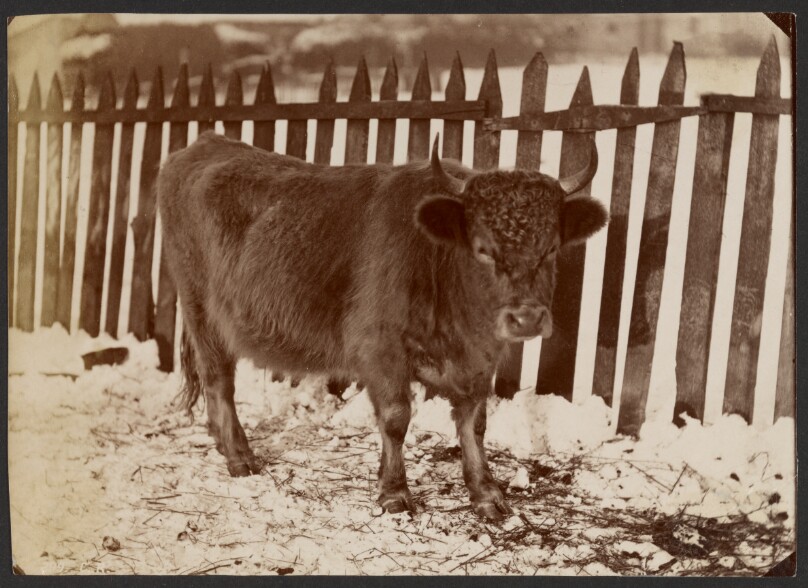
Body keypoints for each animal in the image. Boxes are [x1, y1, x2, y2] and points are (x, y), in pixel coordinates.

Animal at [157, 130, 607, 521]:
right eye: (482, 249)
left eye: (550, 249)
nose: (526, 317)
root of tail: (205, 143)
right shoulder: (381, 351)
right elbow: (395, 419)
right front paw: (394, 492)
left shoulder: (480, 362)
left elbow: (474, 424)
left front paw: (485, 492)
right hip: (201, 310)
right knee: (219, 381)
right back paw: (239, 455)